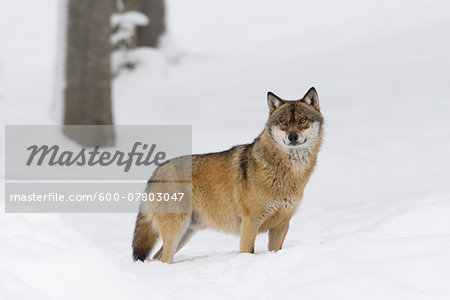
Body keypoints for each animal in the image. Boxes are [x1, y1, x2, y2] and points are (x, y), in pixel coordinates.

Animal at [132, 86, 326, 262]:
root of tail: (156, 172)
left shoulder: (282, 224)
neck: (286, 172)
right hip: (177, 230)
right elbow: (248, 251)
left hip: (185, 233)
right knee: (163, 258)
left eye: (302, 120)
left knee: (157, 257)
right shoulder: (250, 223)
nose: (293, 137)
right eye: (284, 122)